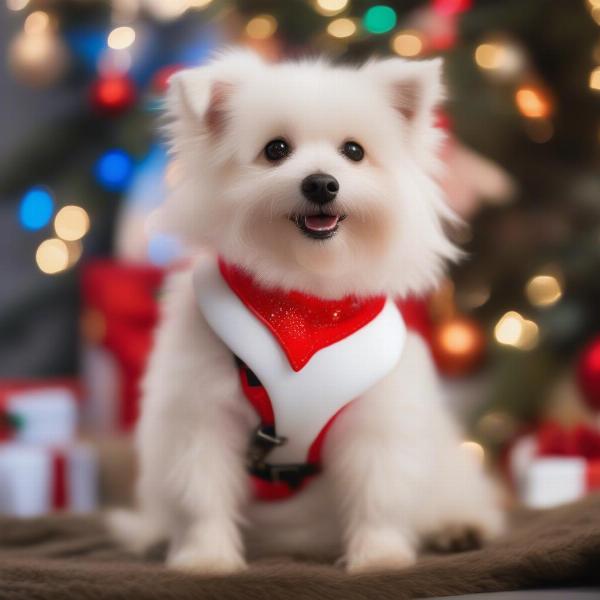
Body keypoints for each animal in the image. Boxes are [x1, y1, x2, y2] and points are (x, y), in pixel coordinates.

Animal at [109, 49, 506, 576]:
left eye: (354, 151)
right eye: (275, 149)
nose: (321, 183)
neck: (304, 300)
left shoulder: (376, 418)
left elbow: (377, 494)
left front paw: (378, 557)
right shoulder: (201, 414)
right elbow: (202, 495)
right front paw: (207, 559)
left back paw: (458, 527)